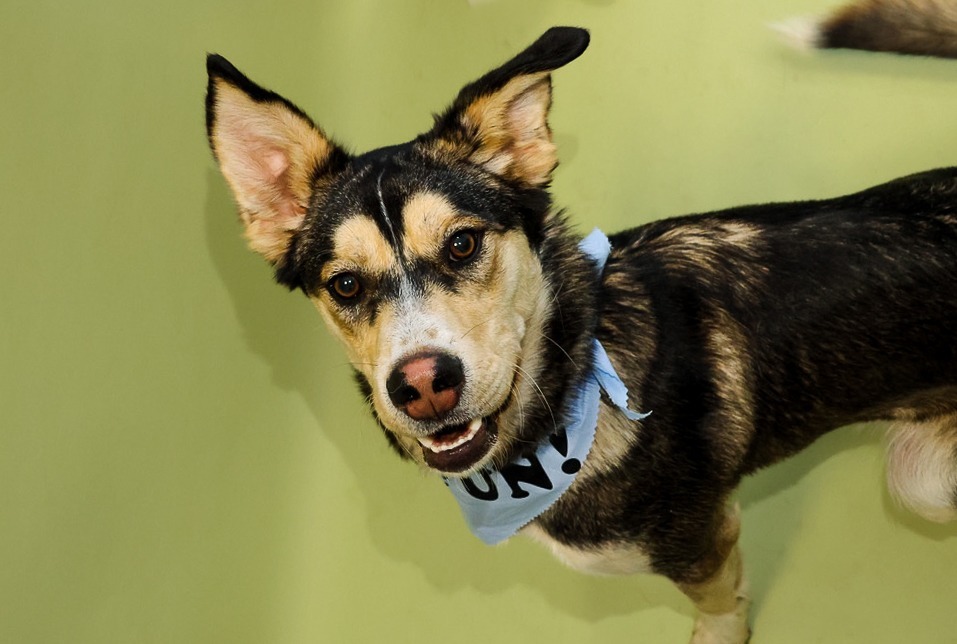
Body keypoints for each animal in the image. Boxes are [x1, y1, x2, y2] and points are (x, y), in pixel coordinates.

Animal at [205, 2, 956, 640]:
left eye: (462, 244)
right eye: (345, 284)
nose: (421, 386)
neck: (577, 374)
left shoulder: (699, 540)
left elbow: (719, 606)